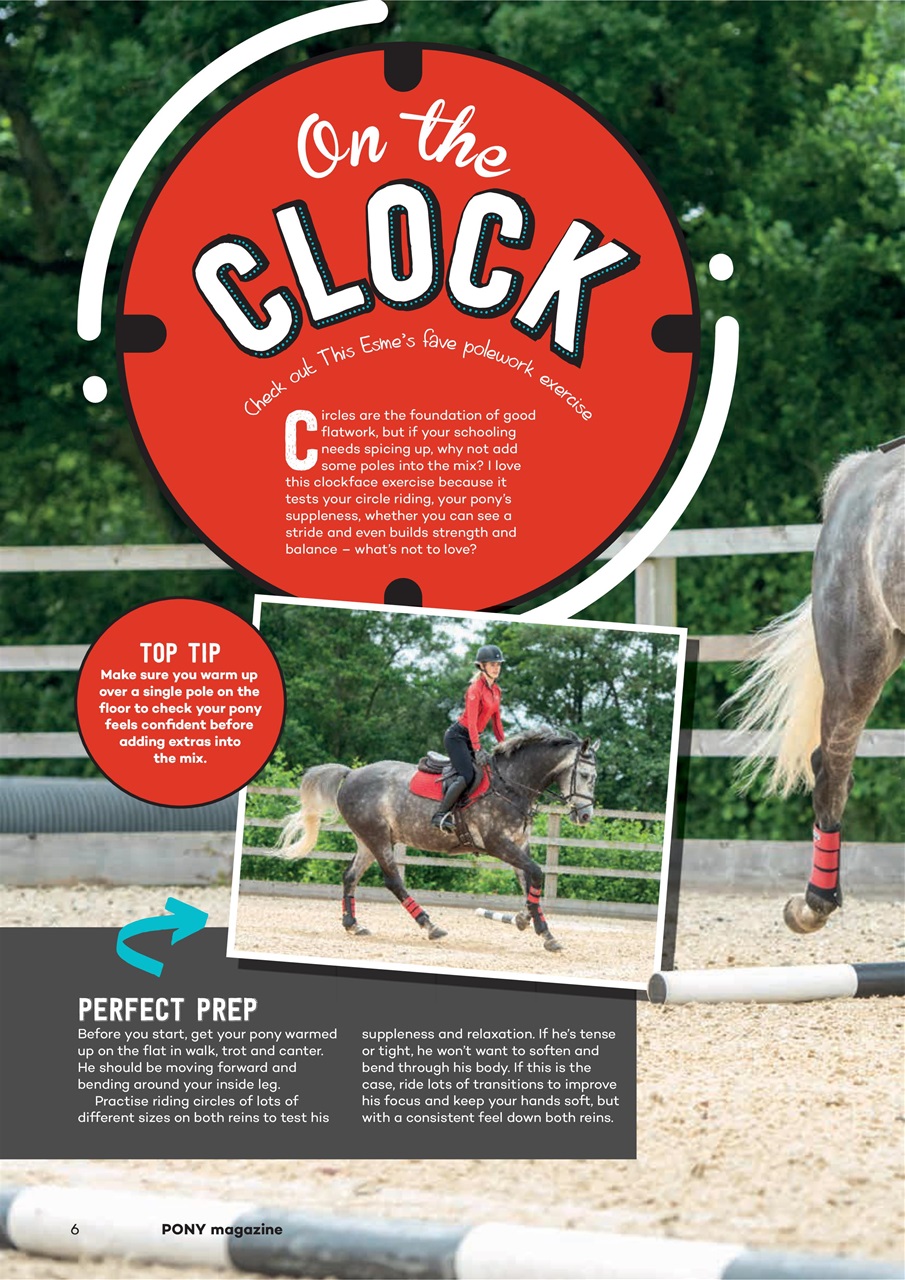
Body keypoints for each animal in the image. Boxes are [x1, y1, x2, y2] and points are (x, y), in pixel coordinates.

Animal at [277, 728, 599, 953]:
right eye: (585, 775)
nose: (585, 816)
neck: (512, 784)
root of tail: (352, 773)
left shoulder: (518, 845)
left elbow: (529, 880)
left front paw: (534, 925)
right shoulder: (498, 845)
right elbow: (536, 872)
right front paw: (536, 925)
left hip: (368, 840)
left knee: (350, 876)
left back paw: (353, 925)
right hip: (378, 839)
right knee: (393, 881)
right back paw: (429, 925)